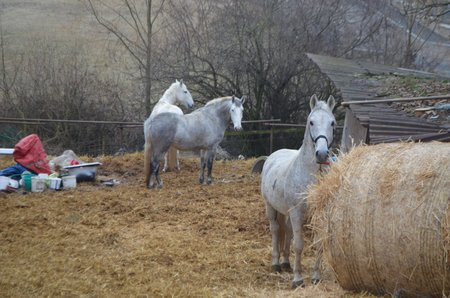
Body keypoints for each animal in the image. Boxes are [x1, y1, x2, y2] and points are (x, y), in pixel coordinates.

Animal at [258, 94, 336, 288]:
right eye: (311, 122)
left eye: (332, 122)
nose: (321, 154)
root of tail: (273, 156)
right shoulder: (297, 213)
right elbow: (299, 245)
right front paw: (298, 279)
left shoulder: (318, 214)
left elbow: (317, 243)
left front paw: (315, 276)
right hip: (271, 208)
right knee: (275, 230)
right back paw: (276, 264)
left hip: (286, 212)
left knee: (287, 230)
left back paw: (286, 263)